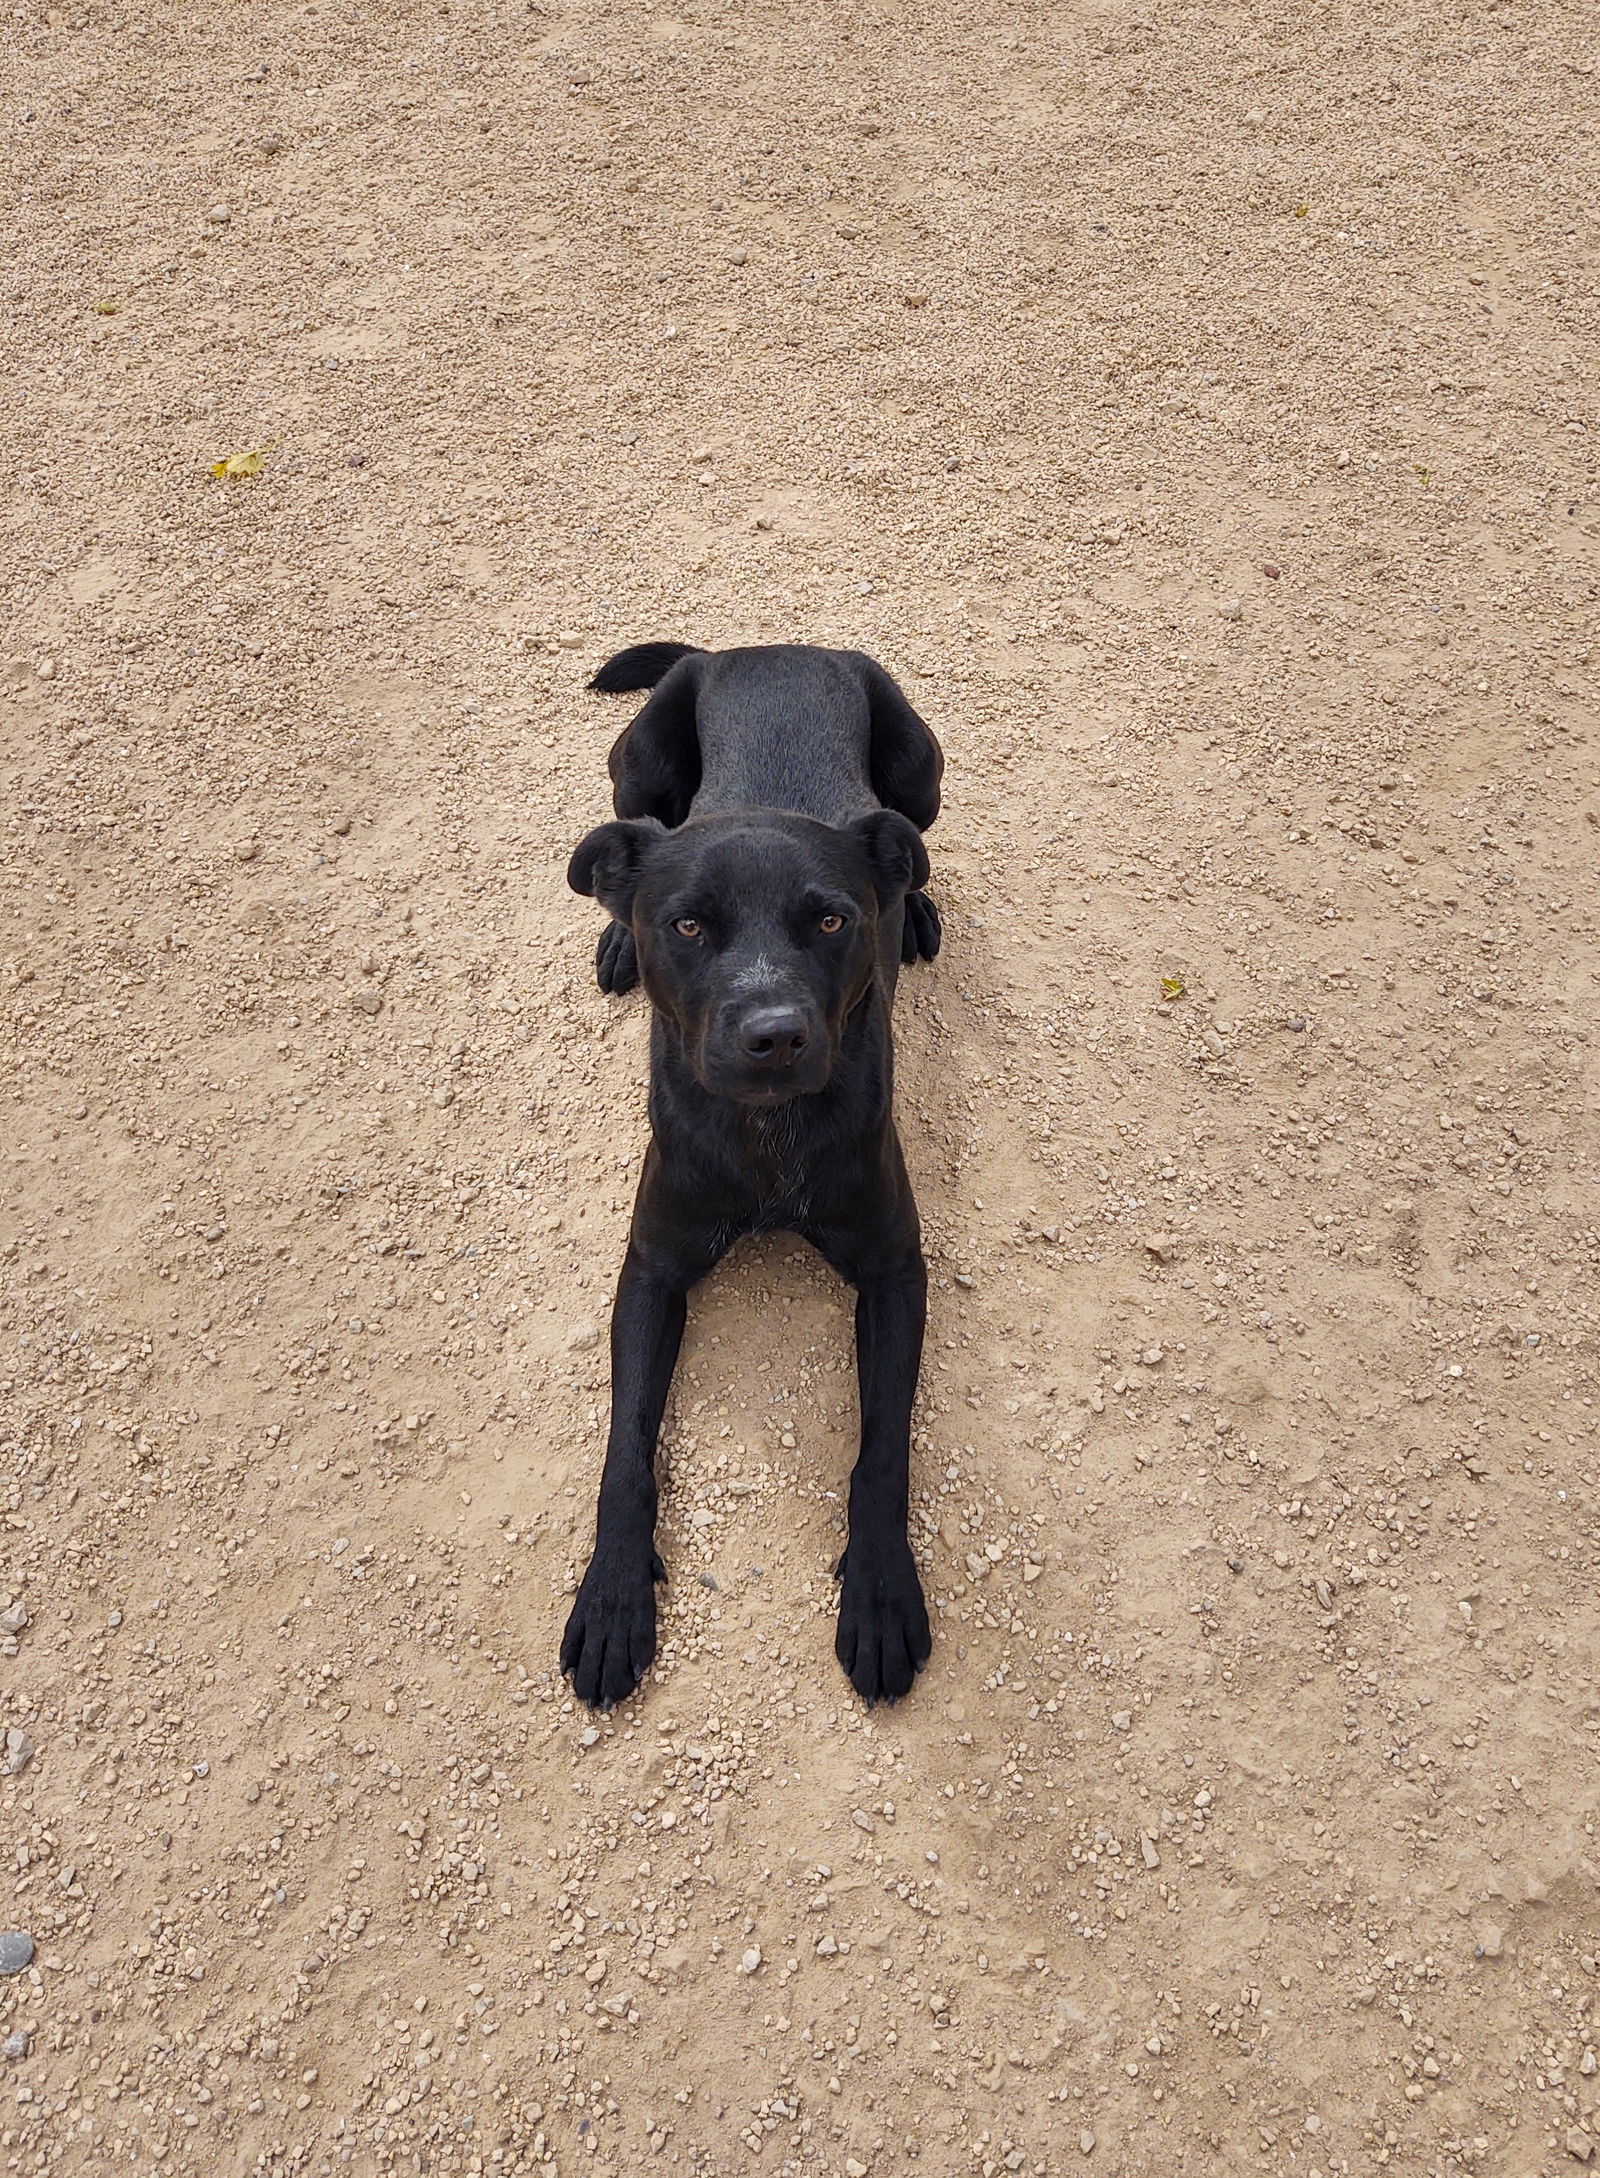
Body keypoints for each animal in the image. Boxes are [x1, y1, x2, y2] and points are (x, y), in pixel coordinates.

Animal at [561, 635, 944, 1707]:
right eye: (688, 926)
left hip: (921, 773)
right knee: (630, 837)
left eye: (831, 922)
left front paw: (881, 1594)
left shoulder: (894, 1270)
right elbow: (626, 1446)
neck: (769, 1135)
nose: (774, 1036)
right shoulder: (652, 1269)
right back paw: (611, 933)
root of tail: (764, 645)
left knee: (916, 847)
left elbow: (882, 1450)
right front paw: (612, 1596)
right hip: (637, 764)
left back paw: (918, 912)